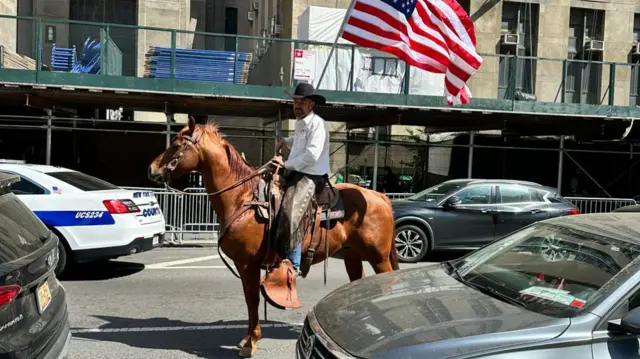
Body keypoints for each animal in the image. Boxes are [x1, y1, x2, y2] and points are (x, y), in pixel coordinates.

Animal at [149, 116, 400, 358]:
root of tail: (381, 196)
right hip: (353, 255)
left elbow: (252, 299)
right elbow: (249, 299)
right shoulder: (243, 265)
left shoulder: (247, 264)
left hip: (378, 257)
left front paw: (251, 343)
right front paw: (247, 338)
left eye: (177, 145)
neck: (241, 198)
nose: (151, 169)